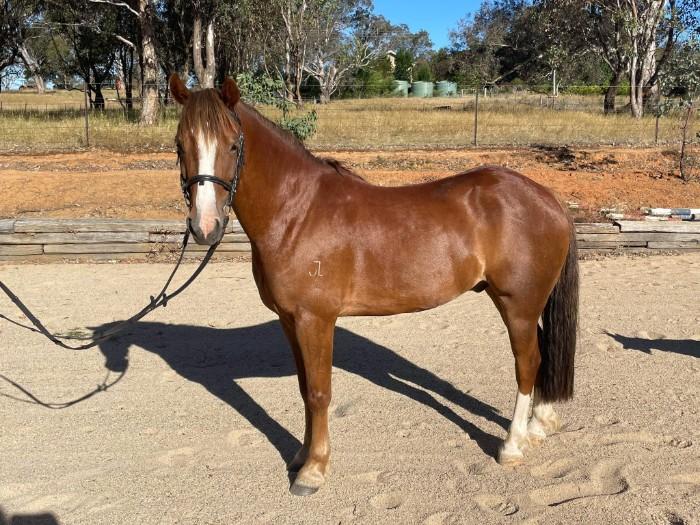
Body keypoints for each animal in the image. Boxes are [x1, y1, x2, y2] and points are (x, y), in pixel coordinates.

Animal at [168, 74, 579, 497]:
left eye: (233, 144)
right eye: (179, 145)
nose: (205, 227)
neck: (297, 212)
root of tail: (549, 198)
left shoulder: (316, 320)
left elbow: (319, 392)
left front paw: (313, 470)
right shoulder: (289, 320)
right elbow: (303, 389)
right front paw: (300, 456)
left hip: (518, 304)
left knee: (527, 362)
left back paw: (512, 444)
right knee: (543, 353)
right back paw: (539, 425)